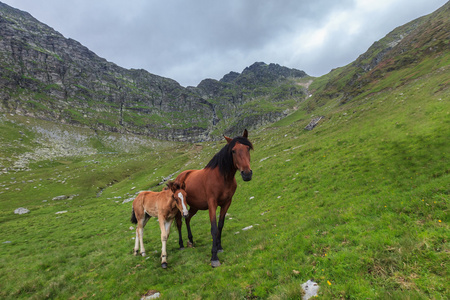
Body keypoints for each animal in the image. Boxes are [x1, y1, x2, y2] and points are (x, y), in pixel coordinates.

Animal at [175, 129, 253, 268]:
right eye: (233, 151)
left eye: (248, 148)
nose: (247, 174)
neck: (222, 178)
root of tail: (179, 177)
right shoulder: (212, 204)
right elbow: (214, 228)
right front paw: (214, 257)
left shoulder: (227, 203)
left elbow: (221, 225)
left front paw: (219, 247)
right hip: (180, 206)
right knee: (179, 223)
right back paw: (182, 244)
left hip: (194, 206)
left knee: (188, 219)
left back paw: (191, 240)